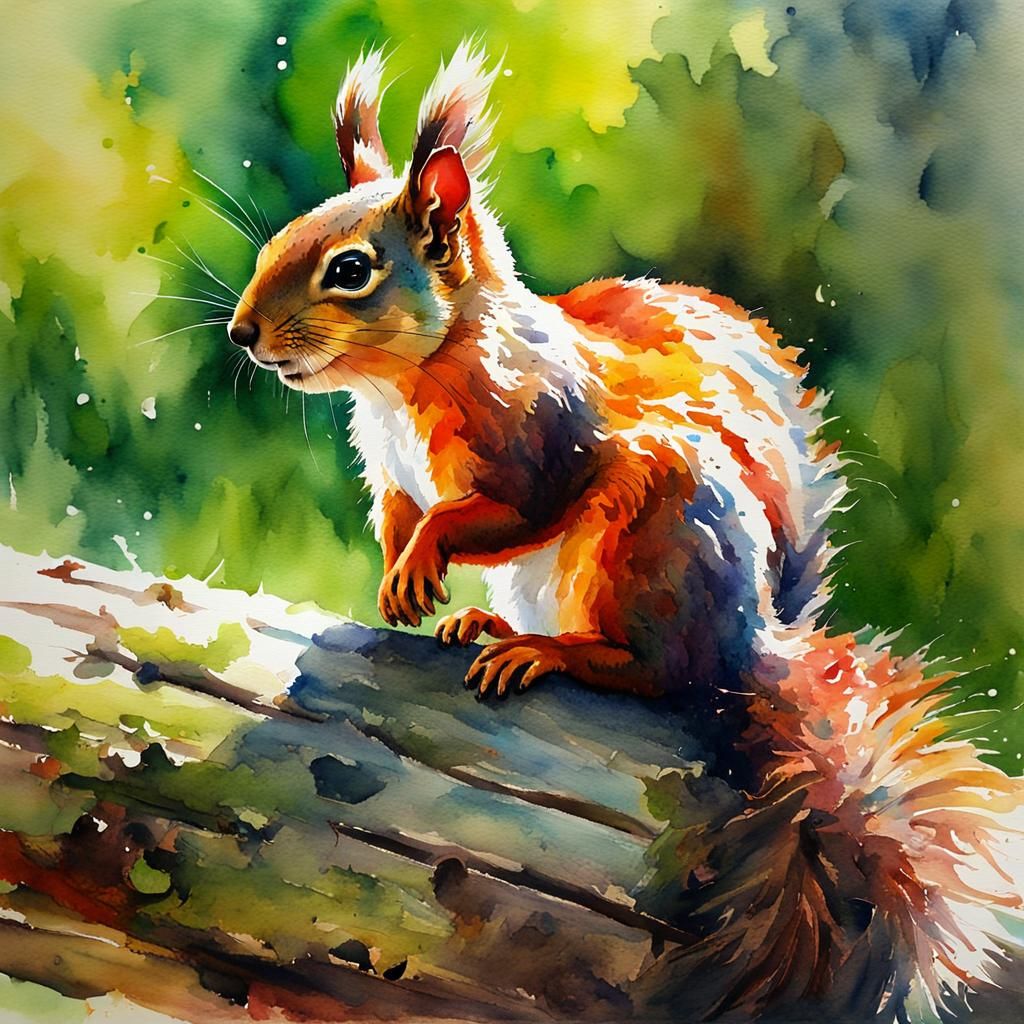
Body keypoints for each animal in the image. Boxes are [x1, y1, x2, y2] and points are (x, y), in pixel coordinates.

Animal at [228, 42, 1024, 1022]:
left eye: (350, 270)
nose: (242, 333)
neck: (404, 382)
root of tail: (747, 643)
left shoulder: (546, 447)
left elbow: (490, 513)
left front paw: (422, 564)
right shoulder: (391, 471)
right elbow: (400, 514)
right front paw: (397, 571)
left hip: (653, 539)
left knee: (654, 671)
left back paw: (550, 653)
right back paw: (488, 624)